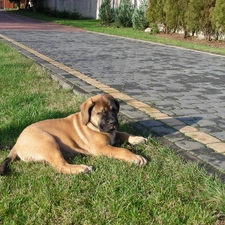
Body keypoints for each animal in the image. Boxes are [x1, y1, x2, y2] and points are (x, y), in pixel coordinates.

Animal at [0, 94, 147, 175]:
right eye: (101, 113)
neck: (92, 124)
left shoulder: (114, 134)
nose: (113, 123)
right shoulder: (101, 148)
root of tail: (17, 144)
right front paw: (135, 157)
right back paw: (82, 169)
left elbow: (124, 133)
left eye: (115, 110)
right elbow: (121, 150)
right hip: (48, 140)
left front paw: (137, 139)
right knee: (61, 166)